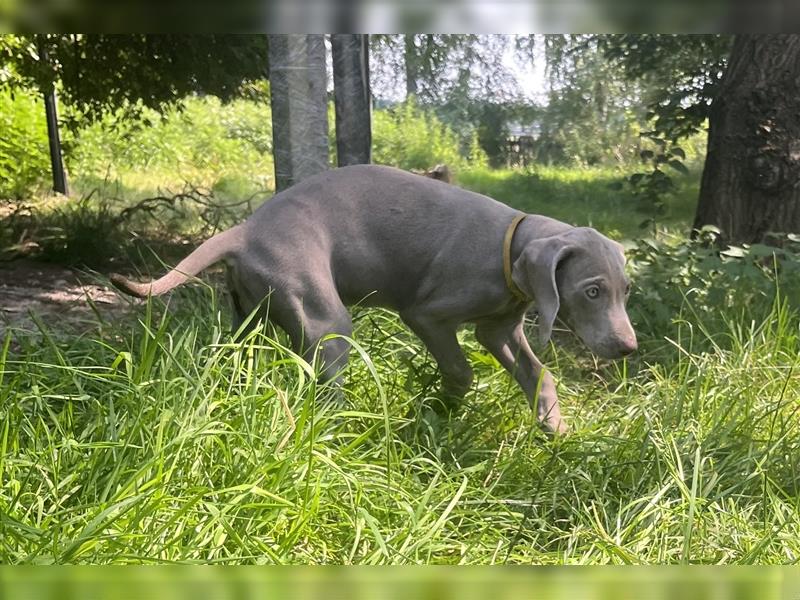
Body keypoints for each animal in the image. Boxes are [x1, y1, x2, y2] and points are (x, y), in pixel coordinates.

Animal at [112, 166, 636, 434]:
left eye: (626, 290)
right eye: (591, 291)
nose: (627, 348)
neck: (510, 247)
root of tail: (244, 230)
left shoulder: (498, 327)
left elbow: (538, 373)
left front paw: (553, 427)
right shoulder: (426, 314)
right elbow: (460, 368)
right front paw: (440, 410)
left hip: (250, 318)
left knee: (242, 356)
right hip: (325, 319)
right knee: (324, 386)